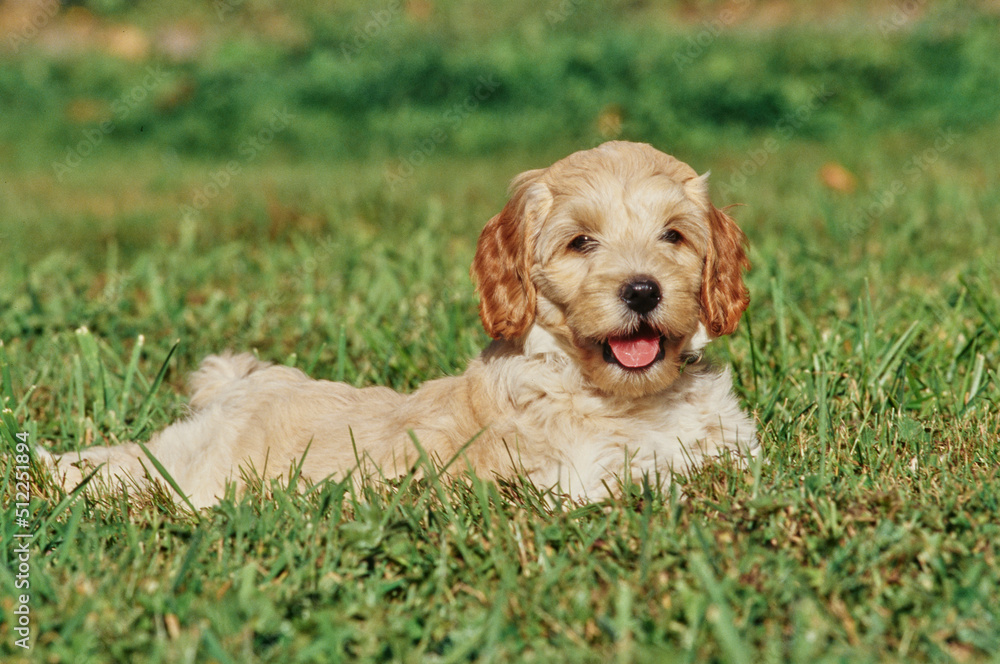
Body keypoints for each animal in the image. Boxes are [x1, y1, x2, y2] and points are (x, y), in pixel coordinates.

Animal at [41, 143, 756, 508]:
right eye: (582, 242)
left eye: (673, 236)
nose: (642, 290)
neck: (631, 400)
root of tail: (241, 382)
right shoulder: (578, 483)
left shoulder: (732, 454)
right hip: (194, 467)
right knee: (129, 465)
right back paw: (45, 471)